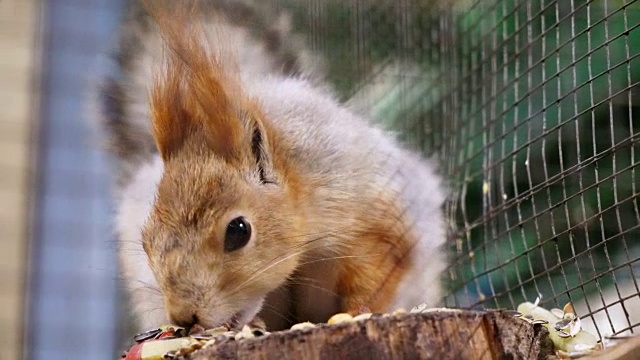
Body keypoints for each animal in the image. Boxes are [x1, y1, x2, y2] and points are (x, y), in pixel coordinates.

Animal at [92, 0, 448, 332]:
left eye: (239, 231)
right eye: (145, 241)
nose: (184, 318)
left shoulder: (381, 217)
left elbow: (382, 267)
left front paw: (359, 310)